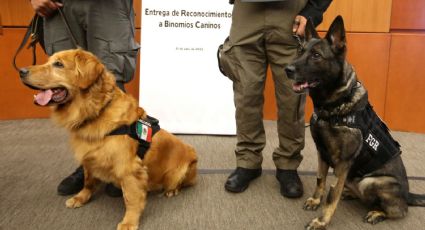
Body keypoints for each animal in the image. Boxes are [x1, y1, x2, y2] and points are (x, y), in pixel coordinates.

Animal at [19, 49, 198, 229]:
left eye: (58, 64)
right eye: (48, 61)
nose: (21, 71)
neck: (96, 111)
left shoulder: (129, 168)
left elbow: (131, 199)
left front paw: (129, 221)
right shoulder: (89, 157)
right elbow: (88, 181)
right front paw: (81, 197)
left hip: (180, 171)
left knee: (180, 183)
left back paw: (172, 190)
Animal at [284, 15, 424, 228]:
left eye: (316, 55)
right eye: (300, 51)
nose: (287, 69)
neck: (333, 106)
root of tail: (408, 195)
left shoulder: (342, 164)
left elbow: (332, 194)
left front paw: (321, 221)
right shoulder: (322, 154)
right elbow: (320, 180)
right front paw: (316, 200)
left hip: (372, 182)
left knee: (399, 210)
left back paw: (377, 212)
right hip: (354, 178)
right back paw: (350, 193)